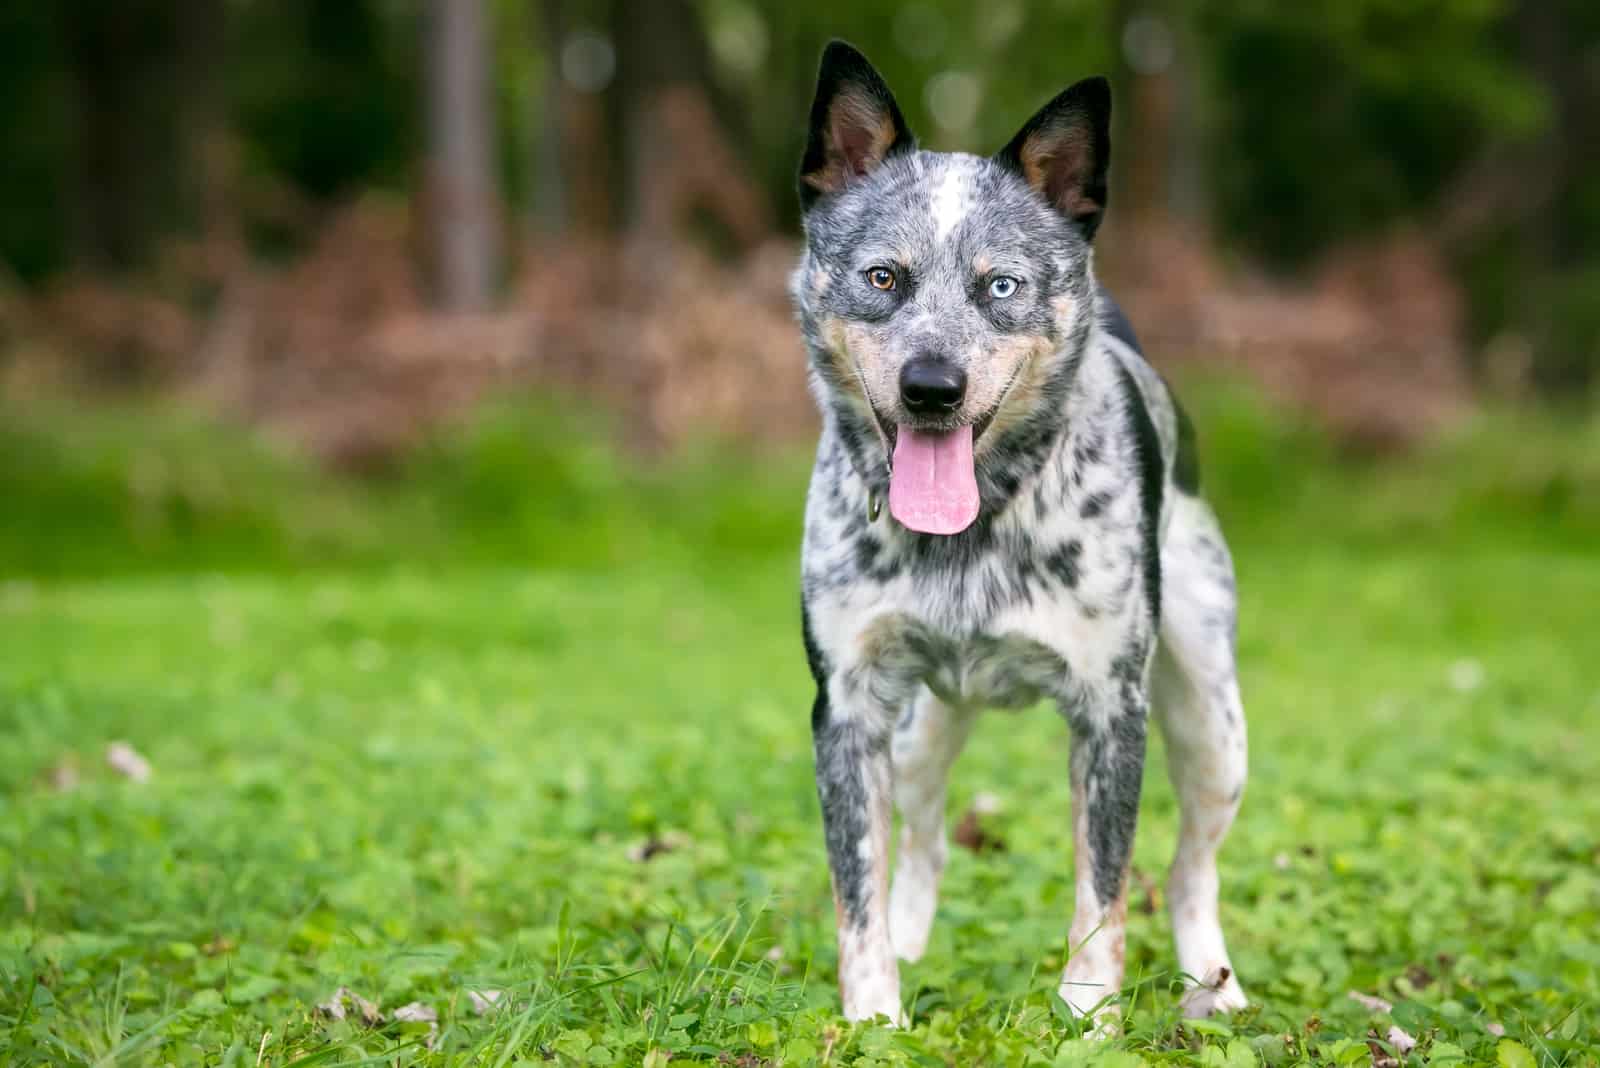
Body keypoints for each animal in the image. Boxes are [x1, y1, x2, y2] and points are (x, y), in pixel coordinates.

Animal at [787, 41, 1248, 1023]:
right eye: (884, 278)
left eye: (1001, 286)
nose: (932, 387)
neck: (971, 532)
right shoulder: (848, 707)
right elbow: (857, 890)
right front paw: (874, 1018)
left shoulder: (1112, 711)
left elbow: (1103, 889)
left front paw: (1087, 1016)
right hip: (920, 731)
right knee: (924, 842)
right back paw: (914, 945)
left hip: (1212, 724)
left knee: (1190, 868)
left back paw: (1212, 983)